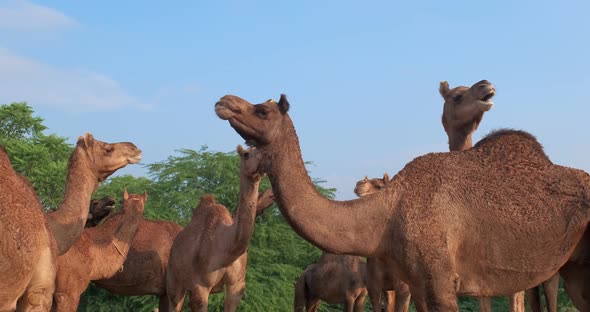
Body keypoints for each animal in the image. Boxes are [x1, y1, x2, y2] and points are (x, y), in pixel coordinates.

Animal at [168, 146, 274, 312]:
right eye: (246, 154)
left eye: (262, 150)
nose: (265, 157)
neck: (226, 249)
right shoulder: (201, 286)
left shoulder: (236, 285)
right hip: (174, 278)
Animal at [215, 93, 590, 312]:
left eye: (262, 110)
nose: (224, 101)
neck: (387, 213)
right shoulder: (418, 284)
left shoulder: (441, 280)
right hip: (572, 267)